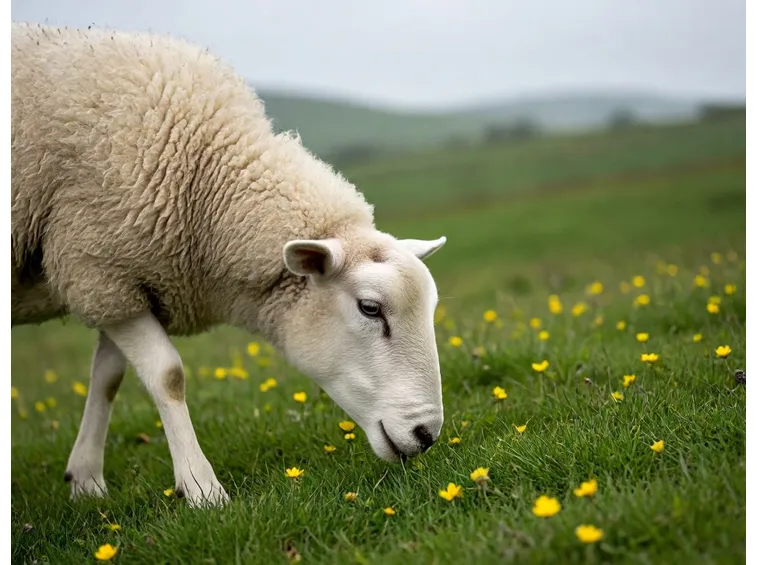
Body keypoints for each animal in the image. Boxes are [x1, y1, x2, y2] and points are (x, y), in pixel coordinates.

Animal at [11, 22, 448, 507]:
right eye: (370, 308)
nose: (426, 434)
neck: (201, 177)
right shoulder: (96, 267)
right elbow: (168, 375)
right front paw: (203, 489)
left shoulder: (119, 281)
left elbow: (108, 376)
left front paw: (86, 480)